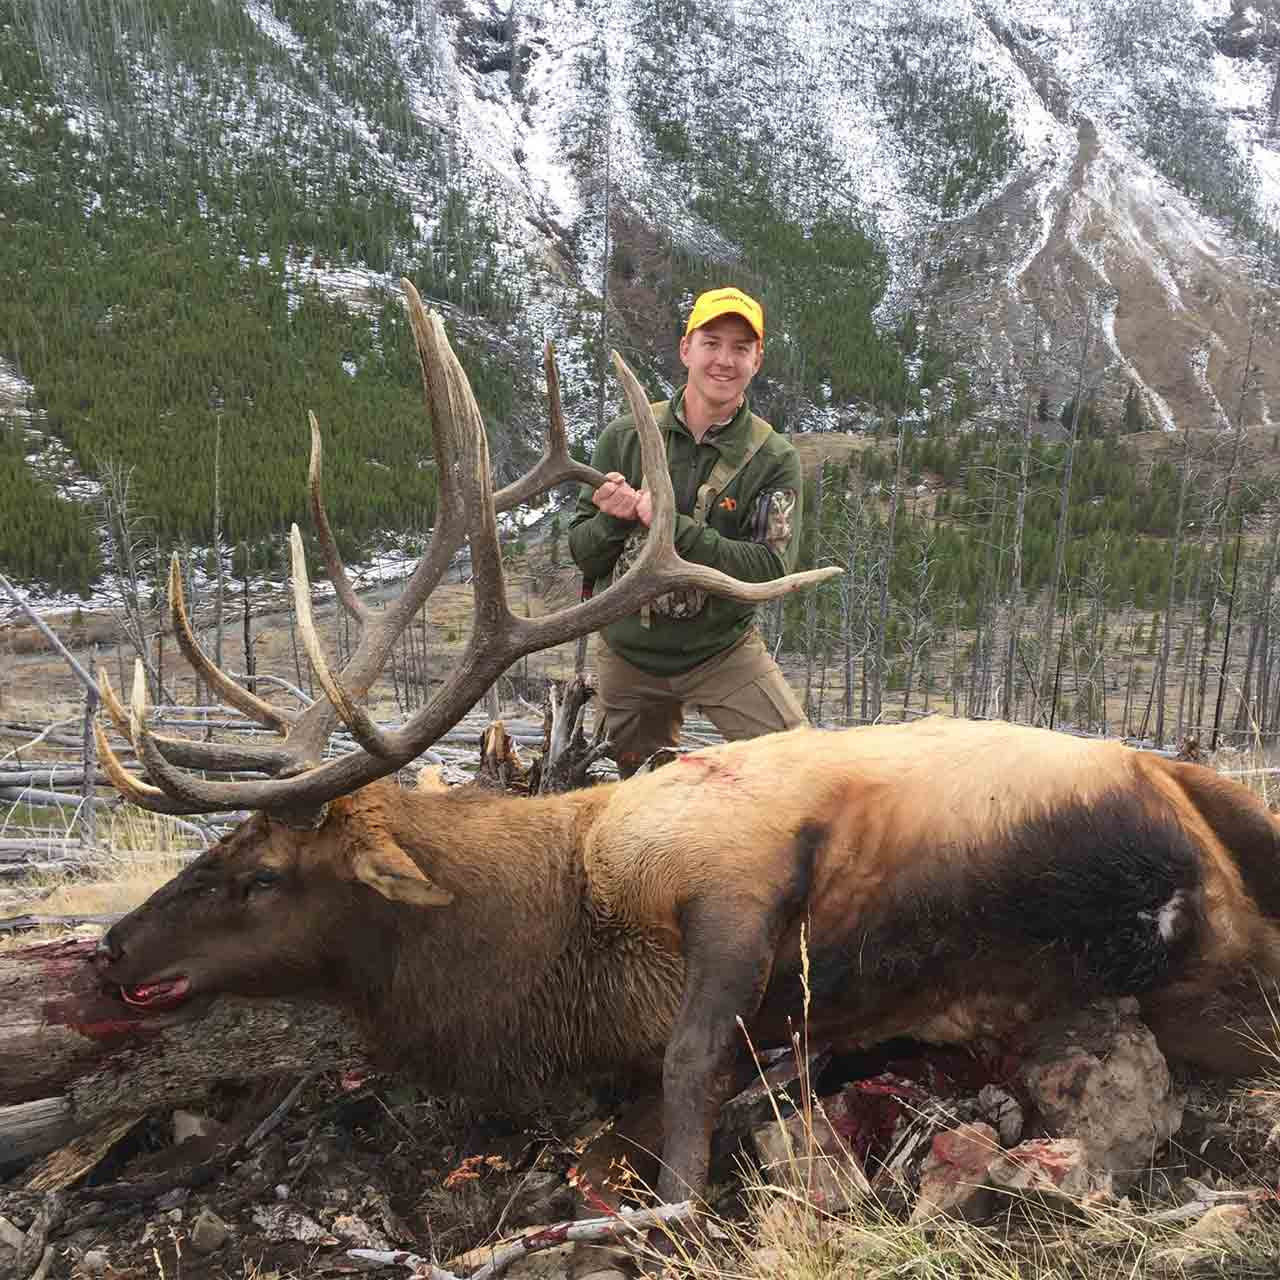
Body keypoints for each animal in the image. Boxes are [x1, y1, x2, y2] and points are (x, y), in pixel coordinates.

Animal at [77, 280, 1280, 1208]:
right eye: (214, 848)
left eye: (262, 874)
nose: (113, 947)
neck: (556, 947)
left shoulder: (735, 863)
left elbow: (691, 1058)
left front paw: (673, 1198)